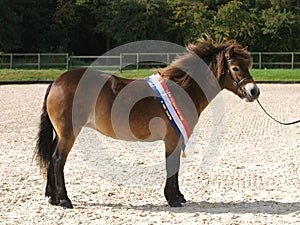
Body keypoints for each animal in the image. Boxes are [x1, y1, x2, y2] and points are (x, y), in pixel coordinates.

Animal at [34, 37, 260, 208]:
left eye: (247, 66)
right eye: (235, 68)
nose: (254, 91)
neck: (181, 89)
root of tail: (57, 82)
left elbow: (175, 166)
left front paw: (178, 196)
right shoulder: (172, 138)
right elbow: (172, 165)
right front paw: (173, 199)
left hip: (61, 133)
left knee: (51, 157)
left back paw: (53, 198)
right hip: (69, 133)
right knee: (57, 159)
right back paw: (64, 200)